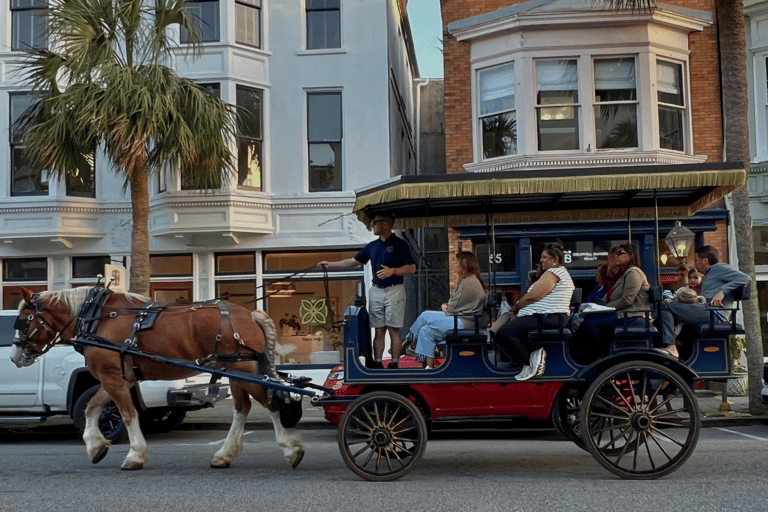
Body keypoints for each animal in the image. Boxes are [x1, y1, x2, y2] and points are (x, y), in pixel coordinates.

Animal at [9, 286, 304, 470]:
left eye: (23, 320)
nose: (14, 357)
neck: (96, 318)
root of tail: (250, 314)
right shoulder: (118, 377)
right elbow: (93, 408)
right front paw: (95, 446)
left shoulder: (111, 376)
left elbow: (127, 414)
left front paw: (134, 455)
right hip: (236, 370)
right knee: (243, 408)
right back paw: (224, 455)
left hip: (244, 370)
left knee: (271, 403)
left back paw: (291, 449)